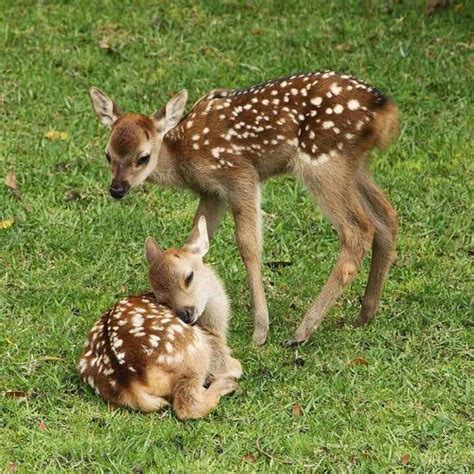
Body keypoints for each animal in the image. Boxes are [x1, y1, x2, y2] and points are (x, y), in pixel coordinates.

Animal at [78, 217, 243, 420]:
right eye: (162, 299)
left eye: (189, 277)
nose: (184, 314)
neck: (214, 327)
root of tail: (129, 381)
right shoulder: (216, 352)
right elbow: (235, 366)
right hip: (194, 353)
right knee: (186, 405)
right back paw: (226, 384)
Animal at [90, 69, 400, 344]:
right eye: (107, 155)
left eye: (142, 157)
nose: (117, 189)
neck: (184, 156)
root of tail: (383, 108)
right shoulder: (211, 192)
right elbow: (196, 237)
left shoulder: (239, 175)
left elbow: (248, 246)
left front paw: (260, 331)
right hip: (355, 166)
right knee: (387, 216)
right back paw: (364, 315)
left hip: (323, 164)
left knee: (358, 230)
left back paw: (301, 332)